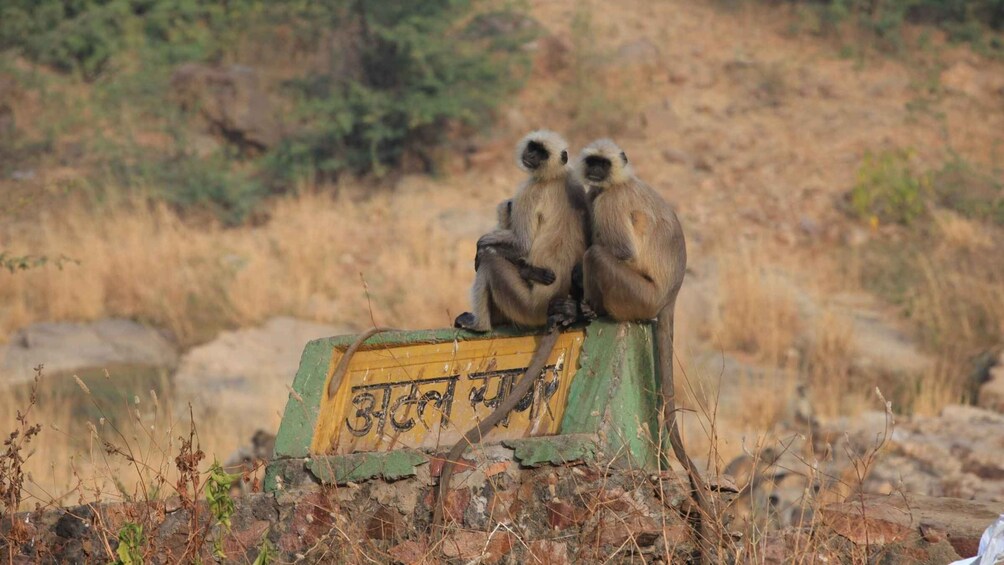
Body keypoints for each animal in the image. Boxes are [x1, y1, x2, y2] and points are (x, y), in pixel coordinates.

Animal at [576, 139, 716, 556]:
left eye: (602, 163)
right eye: (592, 161)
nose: (594, 172)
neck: (619, 181)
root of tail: (670, 295)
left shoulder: (608, 200)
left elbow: (620, 251)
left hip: (637, 296)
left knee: (598, 255)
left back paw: (595, 310)